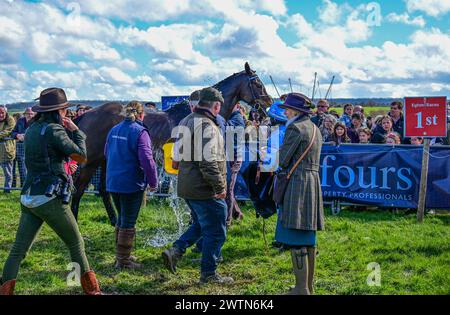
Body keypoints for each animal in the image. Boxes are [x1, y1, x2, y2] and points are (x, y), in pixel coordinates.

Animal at [71, 61, 272, 226]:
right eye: (257, 83)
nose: (269, 101)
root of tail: (86, 114)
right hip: (92, 161)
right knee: (79, 189)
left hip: (107, 160)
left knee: (107, 189)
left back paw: (117, 220)